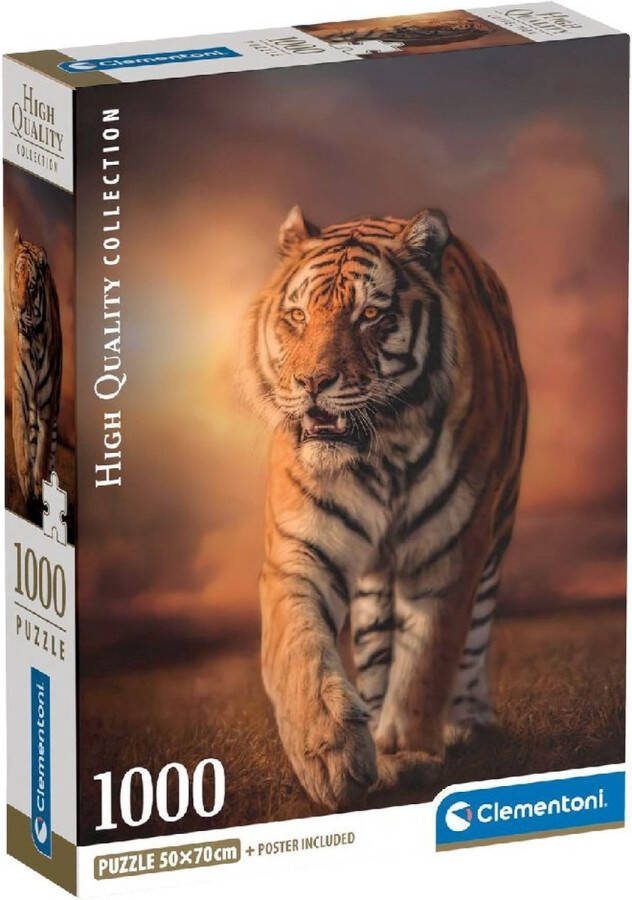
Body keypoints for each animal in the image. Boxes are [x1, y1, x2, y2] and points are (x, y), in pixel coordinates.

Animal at [244, 206, 527, 809]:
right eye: (298, 316)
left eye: (370, 314)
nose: (312, 383)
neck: (382, 454)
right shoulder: (299, 551)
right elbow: (299, 650)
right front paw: (330, 754)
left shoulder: (450, 553)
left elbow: (427, 663)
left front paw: (409, 751)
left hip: (497, 535)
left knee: (473, 637)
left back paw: (465, 721)